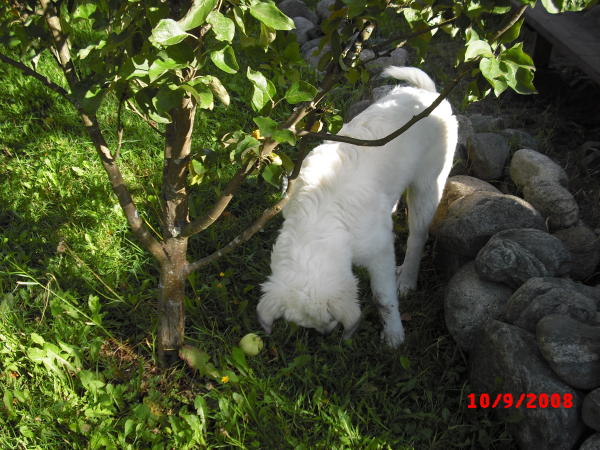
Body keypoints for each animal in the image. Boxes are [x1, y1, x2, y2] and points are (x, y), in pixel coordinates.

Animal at [255, 67, 458, 348]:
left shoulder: (380, 251)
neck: (317, 220)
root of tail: (428, 94)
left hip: (429, 183)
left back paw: (407, 279)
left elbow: (383, 297)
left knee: (418, 235)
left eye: (331, 319)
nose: (326, 335)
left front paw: (394, 334)